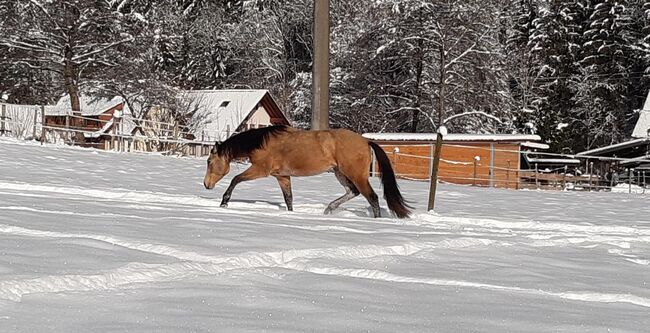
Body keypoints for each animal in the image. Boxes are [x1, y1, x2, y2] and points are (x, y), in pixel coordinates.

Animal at [202, 125, 410, 218]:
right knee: (353, 192)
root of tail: (366, 141)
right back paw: (328, 209)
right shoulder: (282, 176)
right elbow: (289, 199)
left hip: (356, 175)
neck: (261, 143)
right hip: (340, 173)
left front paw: (224, 202)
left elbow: (235, 179)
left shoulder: (260, 170)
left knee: (371, 197)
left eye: (209, 161)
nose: (206, 184)